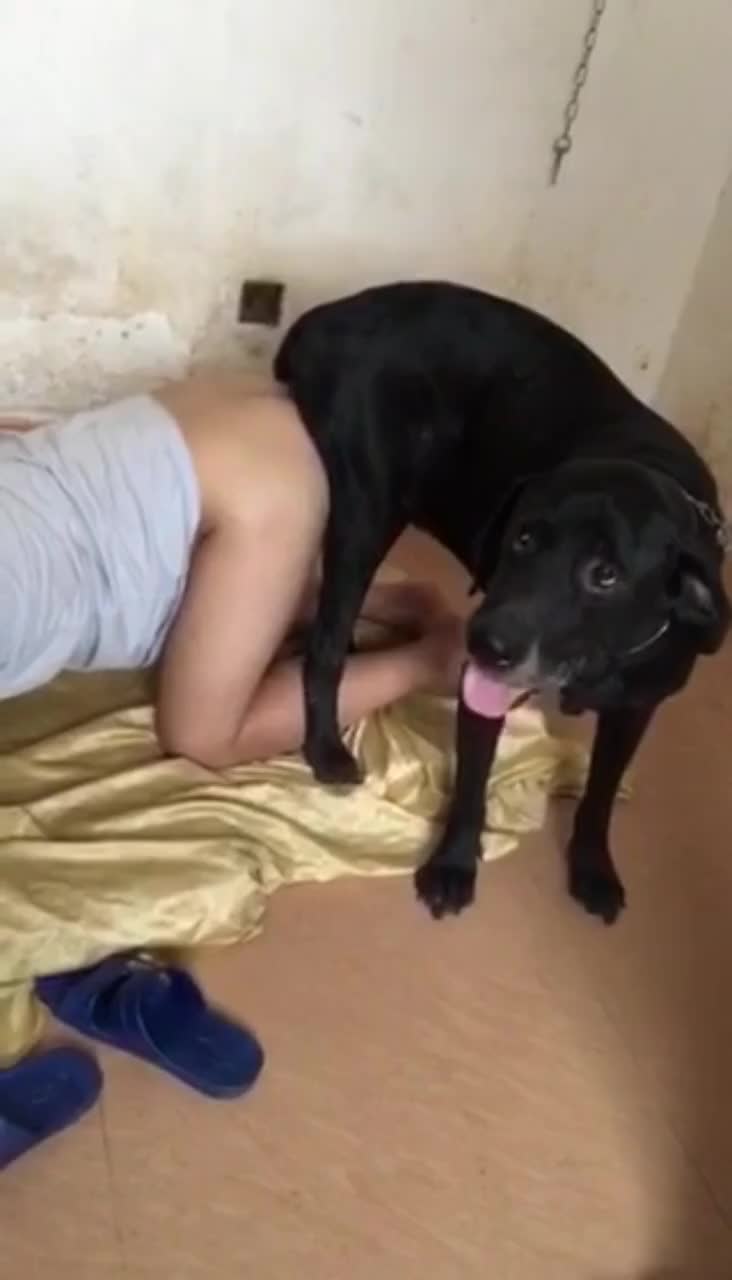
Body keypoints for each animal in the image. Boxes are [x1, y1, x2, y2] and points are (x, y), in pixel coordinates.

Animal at [274, 282, 730, 924]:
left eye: (606, 575)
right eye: (523, 538)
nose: (484, 641)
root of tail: (327, 316)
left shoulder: (638, 706)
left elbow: (601, 790)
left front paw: (593, 866)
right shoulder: (480, 688)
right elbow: (473, 781)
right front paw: (453, 865)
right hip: (367, 512)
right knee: (326, 645)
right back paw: (325, 747)